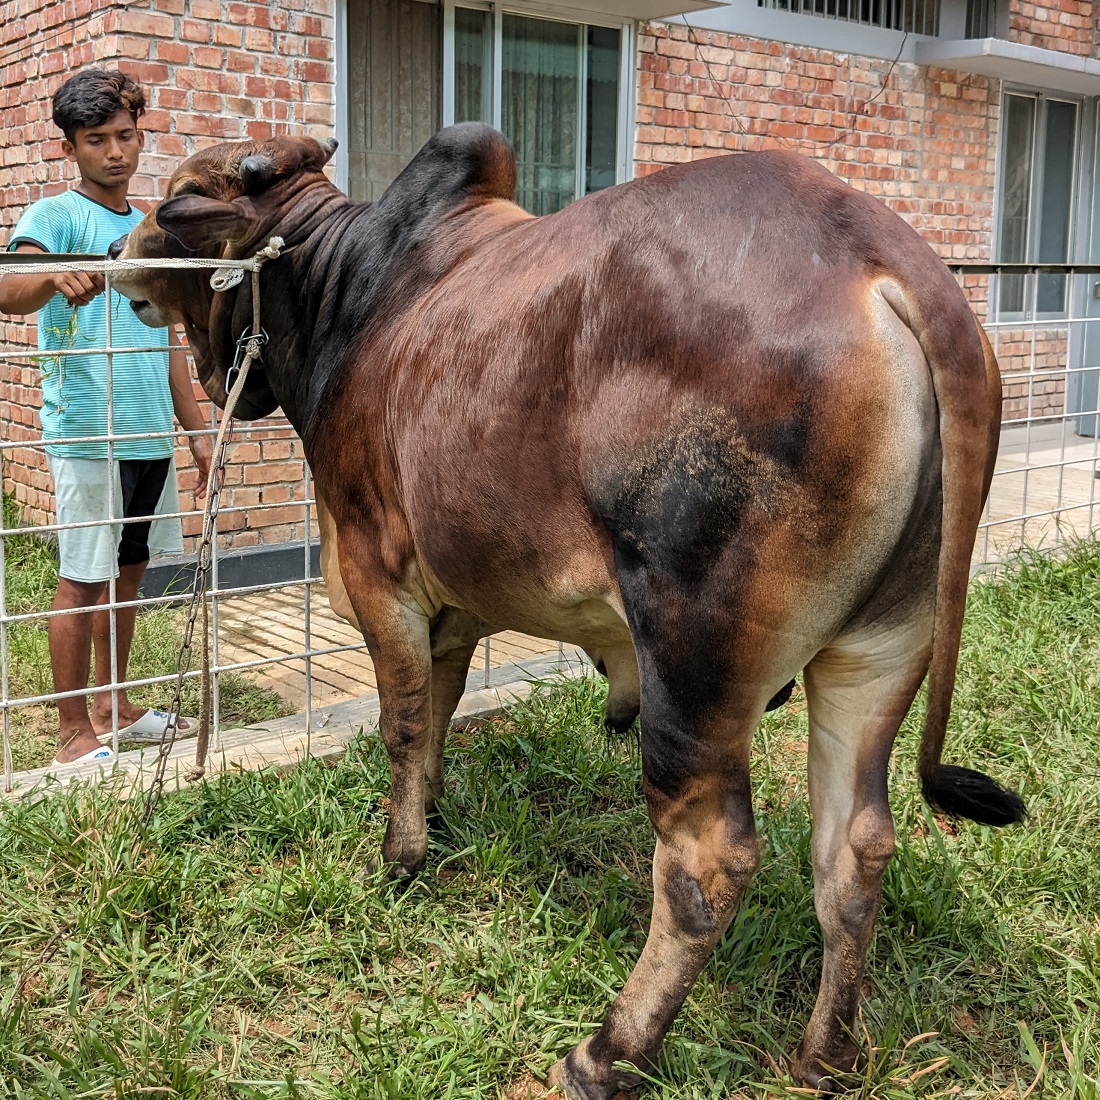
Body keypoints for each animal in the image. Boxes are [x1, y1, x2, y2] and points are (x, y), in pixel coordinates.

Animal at [111, 126, 1020, 1091]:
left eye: (176, 196)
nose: (119, 247)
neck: (345, 293)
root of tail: (889, 261)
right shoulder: (452, 610)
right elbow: (437, 718)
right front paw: (434, 816)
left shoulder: (377, 575)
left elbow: (402, 724)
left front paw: (401, 859)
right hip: (879, 650)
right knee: (855, 850)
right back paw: (825, 1056)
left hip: (692, 662)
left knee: (708, 863)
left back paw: (607, 1052)